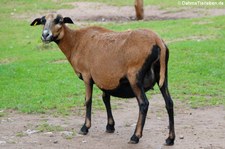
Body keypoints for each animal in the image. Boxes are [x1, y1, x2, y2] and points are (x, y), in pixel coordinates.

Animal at [30, 13, 176, 145]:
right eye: (43, 21)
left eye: (59, 20)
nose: (45, 35)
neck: (75, 42)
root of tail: (158, 41)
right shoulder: (104, 79)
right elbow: (106, 99)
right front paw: (110, 126)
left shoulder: (87, 75)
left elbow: (88, 100)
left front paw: (85, 128)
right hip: (162, 76)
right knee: (169, 103)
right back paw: (170, 139)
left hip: (135, 77)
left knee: (144, 104)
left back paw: (135, 137)